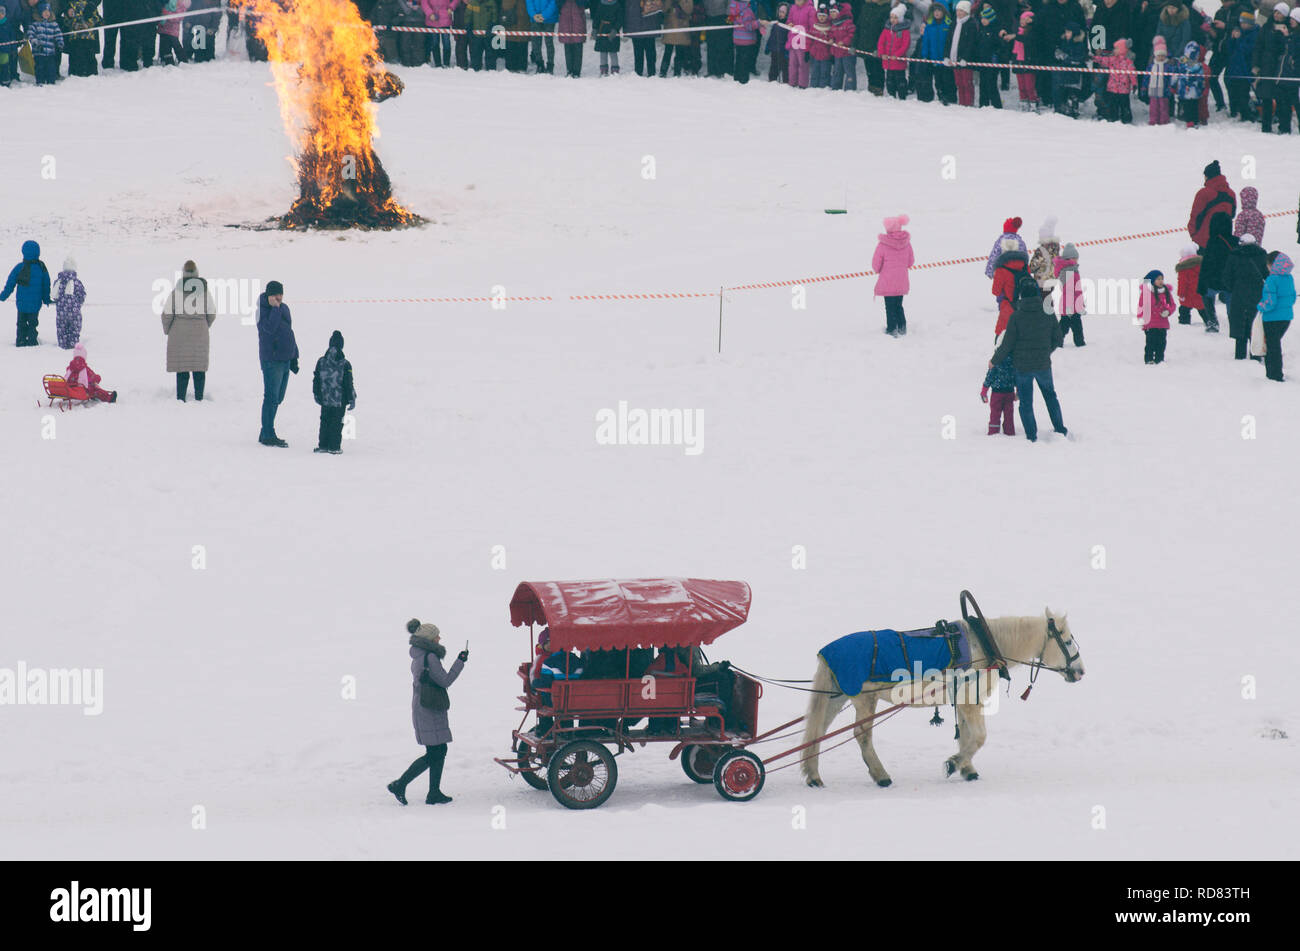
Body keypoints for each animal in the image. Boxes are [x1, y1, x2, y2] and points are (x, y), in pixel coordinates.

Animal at [800, 608, 1086, 789]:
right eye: (1068, 642)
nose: (1081, 671)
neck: (984, 644)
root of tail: (827, 653)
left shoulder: (964, 701)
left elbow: (967, 735)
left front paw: (967, 768)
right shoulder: (972, 700)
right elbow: (979, 737)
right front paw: (954, 763)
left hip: (835, 698)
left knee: (816, 731)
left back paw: (813, 775)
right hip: (864, 700)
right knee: (861, 735)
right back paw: (881, 775)